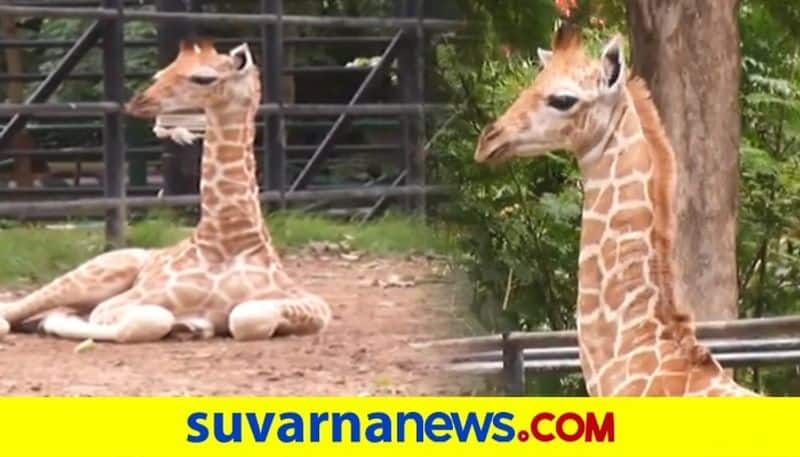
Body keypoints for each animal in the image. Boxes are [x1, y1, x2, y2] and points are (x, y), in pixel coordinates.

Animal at [0, 41, 332, 342]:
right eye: (162, 72)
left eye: (204, 77)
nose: (138, 102)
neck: (228, 237)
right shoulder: (116, 305)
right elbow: (150, 319)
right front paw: (185, 324)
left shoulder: (312, 303)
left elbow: (246, 316)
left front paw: (194, 325)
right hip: (93, 275)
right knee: (15, 312)